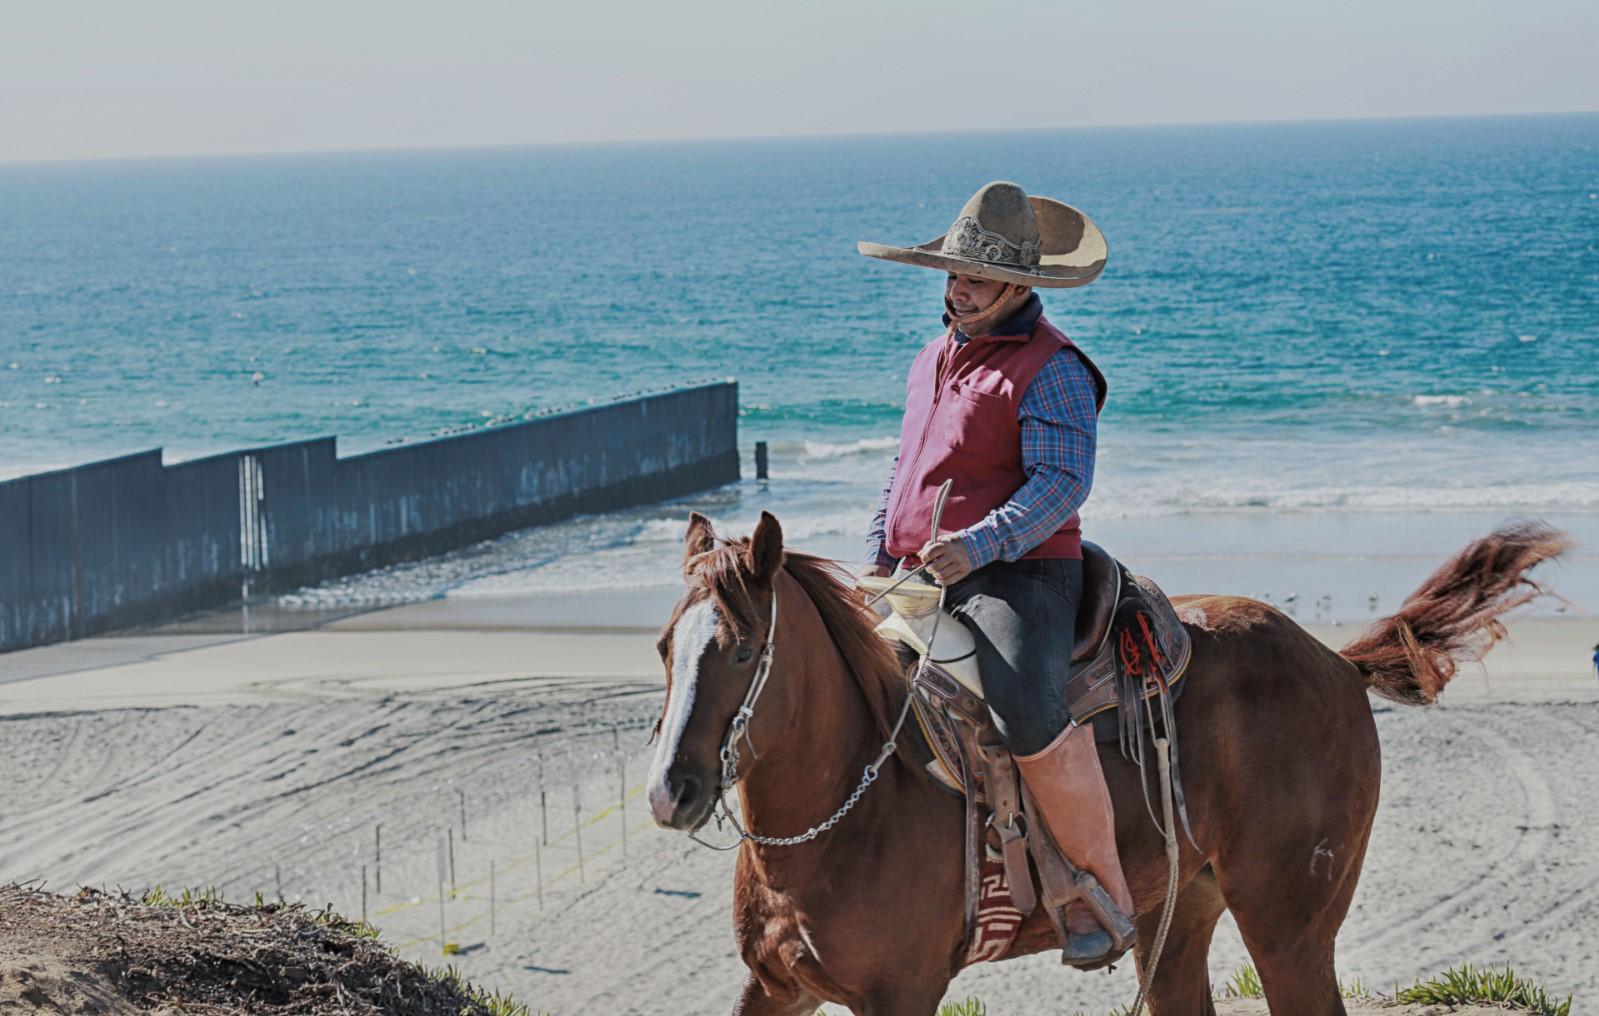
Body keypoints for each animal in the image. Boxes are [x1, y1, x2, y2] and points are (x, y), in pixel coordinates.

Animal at [645, 512, 1560, 1011]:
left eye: (741, 651)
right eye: (663, 646)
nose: (668, 792)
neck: (843, 811)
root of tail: (1333, 663)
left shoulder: (899, 997)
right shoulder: (776, 989)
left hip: (1290, 926)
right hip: (1178, 914)